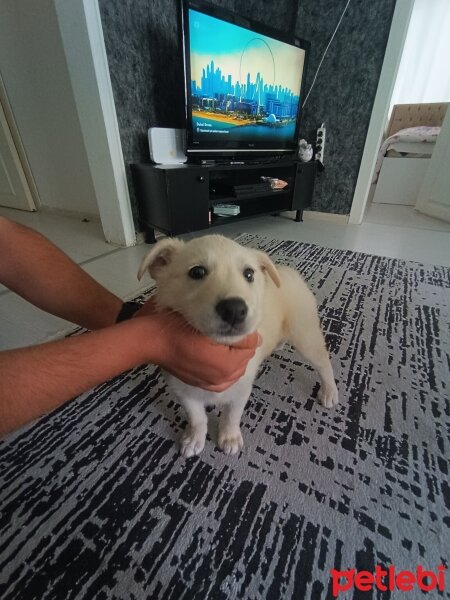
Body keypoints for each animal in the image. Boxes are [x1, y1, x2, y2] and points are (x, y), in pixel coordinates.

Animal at [138, 237, 338, 458]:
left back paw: (330, 392)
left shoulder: (241, 388)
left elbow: (231, 416)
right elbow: (197, 418)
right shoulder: (183, 389)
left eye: (249, 274)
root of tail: (290, 272)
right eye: (197, 272)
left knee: (324, 362)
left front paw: (229, 438)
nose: (234, 309)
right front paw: (194, 439)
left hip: (305, 334)